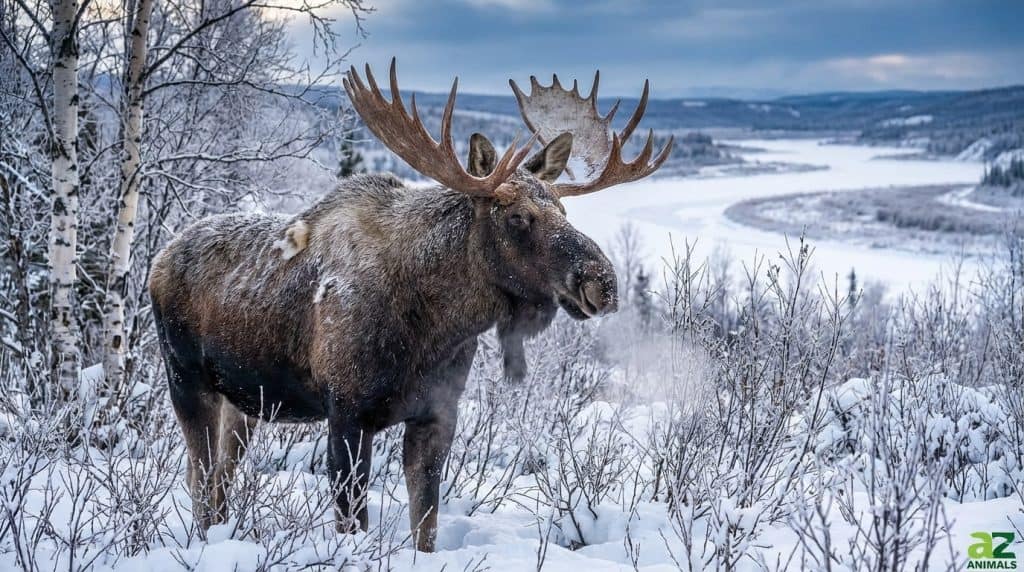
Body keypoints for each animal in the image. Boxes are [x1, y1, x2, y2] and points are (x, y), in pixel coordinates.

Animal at [149, 59, 672, 552]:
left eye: (563, 210)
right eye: (518, 217)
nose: (603, 282)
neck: (436, 331)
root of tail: (160, 256)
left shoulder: (437, 413)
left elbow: (426, 525)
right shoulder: (346, 413)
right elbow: (353, 521)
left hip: (245, 402)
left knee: (219, 478)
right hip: (186, 380)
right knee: (199, 477)